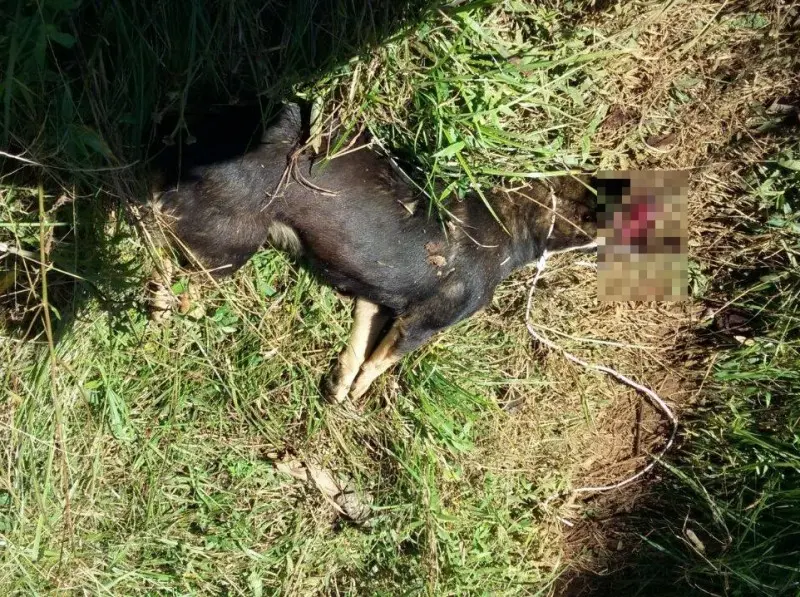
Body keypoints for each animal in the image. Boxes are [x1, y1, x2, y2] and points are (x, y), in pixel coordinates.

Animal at [148, 103, 592, 400]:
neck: (511, 229)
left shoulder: (376, 299)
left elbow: (359, 344)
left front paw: (338, 390)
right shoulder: (426, 320)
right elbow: (381, 360)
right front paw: (357, 396)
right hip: (233, 241)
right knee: (168, 242)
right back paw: (161, 301)